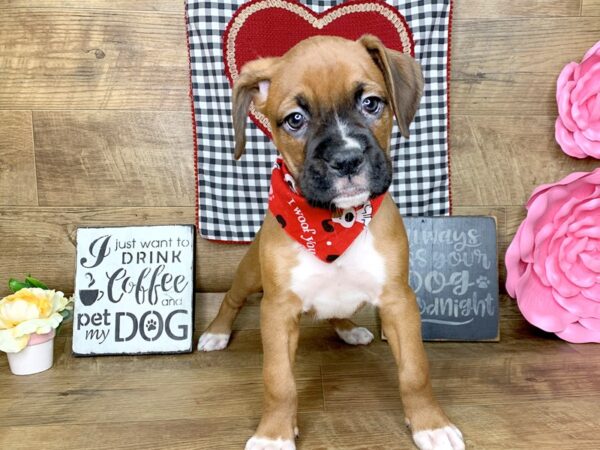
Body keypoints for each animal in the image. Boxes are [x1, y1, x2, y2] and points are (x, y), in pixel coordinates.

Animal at [197, 35, 464, 450]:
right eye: (295, 119)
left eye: (371, 103)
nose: (347, 159)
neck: (335, 223)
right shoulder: (277, 311)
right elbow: (279, 381)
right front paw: (273, 434)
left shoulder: (398, 302)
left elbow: (415, 371)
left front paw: (430, 423)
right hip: (249, 274)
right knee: (231, 298)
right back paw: (217, 332)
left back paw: (348, 328)